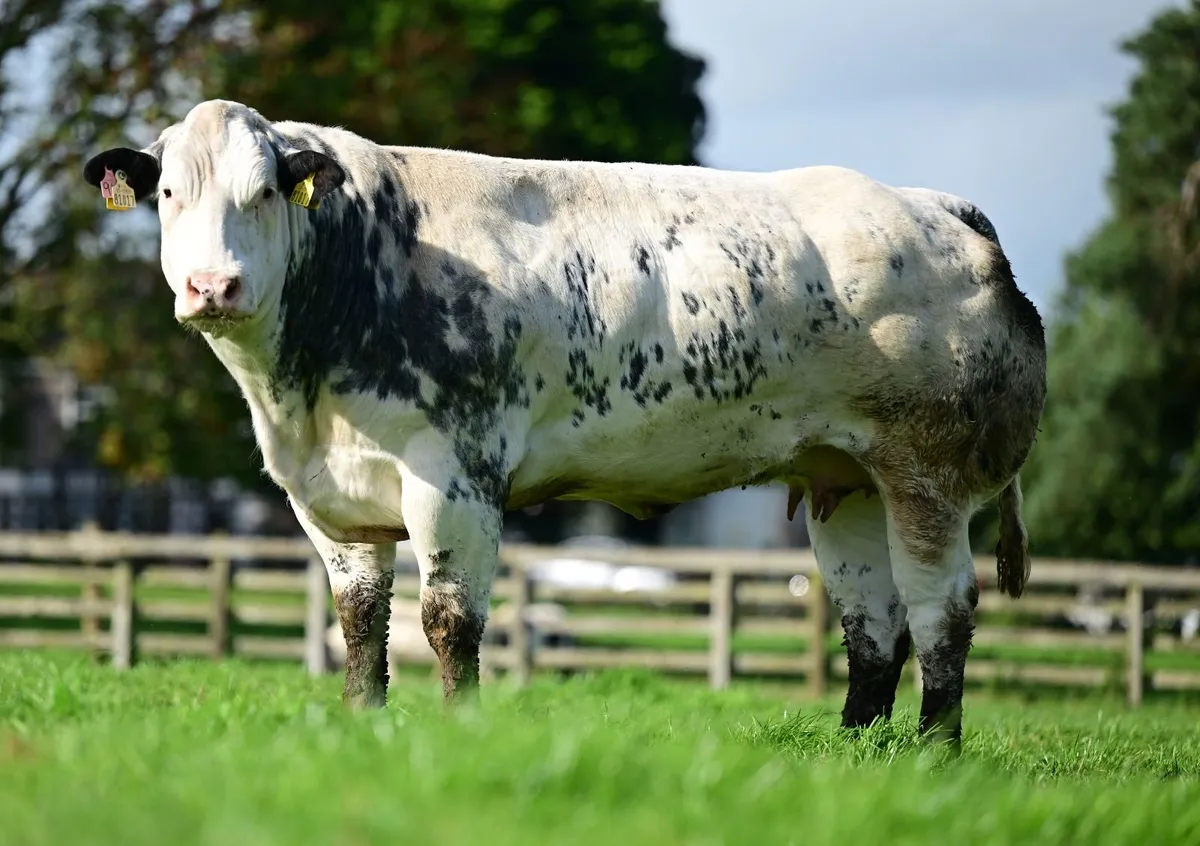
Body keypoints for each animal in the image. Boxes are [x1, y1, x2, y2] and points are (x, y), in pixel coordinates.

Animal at [81, 99, 1046, 747]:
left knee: (940, 609)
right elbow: (358, 625)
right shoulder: (330, 504)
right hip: (845, 480)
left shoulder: (455, 475)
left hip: (926, 472)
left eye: (264, 193)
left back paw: (932, 753)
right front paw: (361, 730)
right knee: (871, 622)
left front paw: (460, 732)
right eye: (168, 193)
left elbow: (448, 621)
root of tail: (935, 206)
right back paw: (852, 751)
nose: (212, 286)